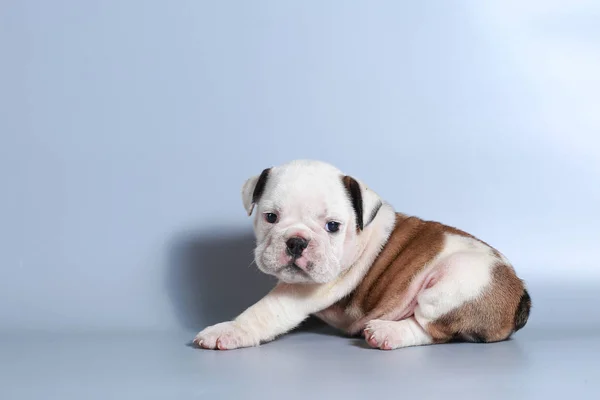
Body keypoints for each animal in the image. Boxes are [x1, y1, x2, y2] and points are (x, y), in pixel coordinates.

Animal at [193, 159, 528, 350]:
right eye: (271, 217)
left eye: (332, 226)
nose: (296, 242)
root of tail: (521, 295)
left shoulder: (304, 289)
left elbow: (263, 312)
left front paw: (228, 331)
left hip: (454, 281)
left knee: (432, 329)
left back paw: (386, 333)